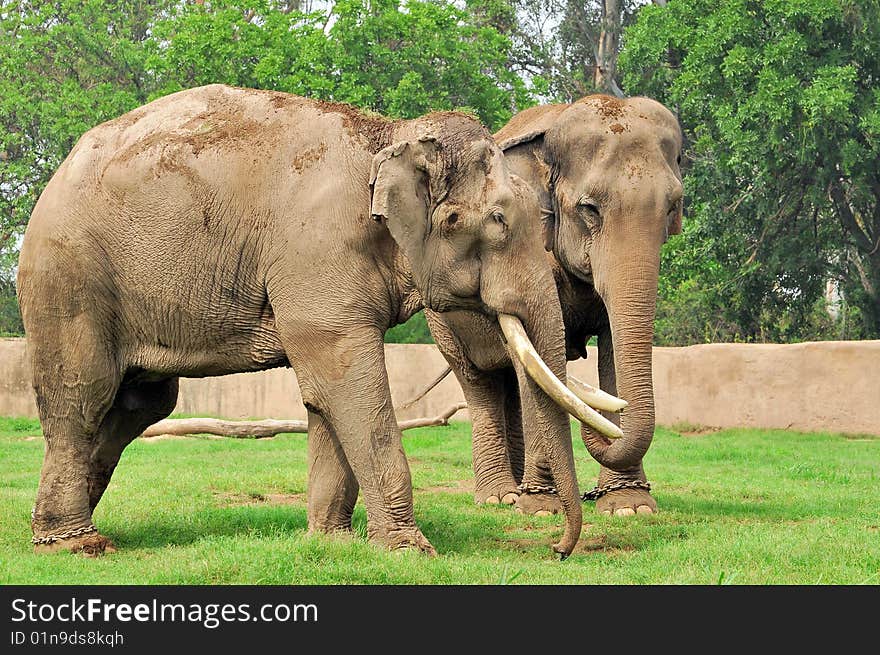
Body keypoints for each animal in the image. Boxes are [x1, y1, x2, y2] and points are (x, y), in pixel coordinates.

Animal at [15, 84, 620, 560]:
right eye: (496, 220)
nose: (558, 549)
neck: (389, 137)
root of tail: (55, 176)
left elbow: (325, 397)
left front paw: (334, 542)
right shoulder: (316, 252)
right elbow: (344, 379)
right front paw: (411, 552)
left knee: (139, 404)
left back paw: (61, 524)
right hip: (70, 279)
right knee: (84, 394)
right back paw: (76, 543)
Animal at [422, 95, 684, 516]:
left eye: (673, 207)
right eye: (589, 208)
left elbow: (612, 347)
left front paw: (629, 505)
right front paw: (542, 507)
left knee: (511, 382)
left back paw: (515, 490)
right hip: (440, 320)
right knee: (480, 382)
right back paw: (499, 497)